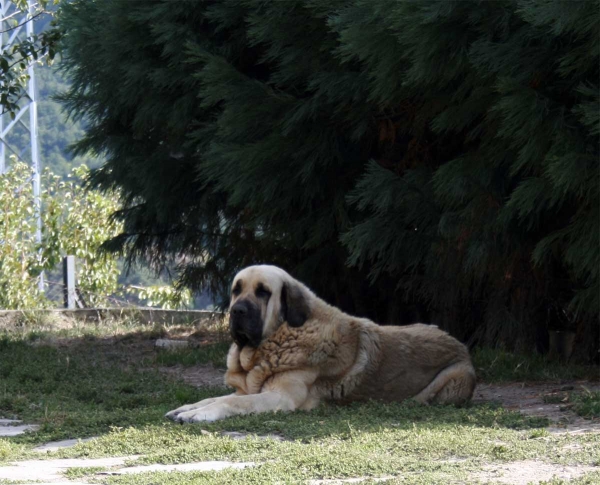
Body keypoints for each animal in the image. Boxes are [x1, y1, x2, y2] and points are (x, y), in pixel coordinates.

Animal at [166, 262, 476, 422]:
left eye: (263, 292)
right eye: (236, 290)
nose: (237, 311)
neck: (281, 335)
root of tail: (461, 346)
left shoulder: (281, 397)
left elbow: (232, 403)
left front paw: (202, 414)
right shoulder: (246, 389)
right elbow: (215, 397)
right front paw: (188, 408)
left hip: (450, 379)